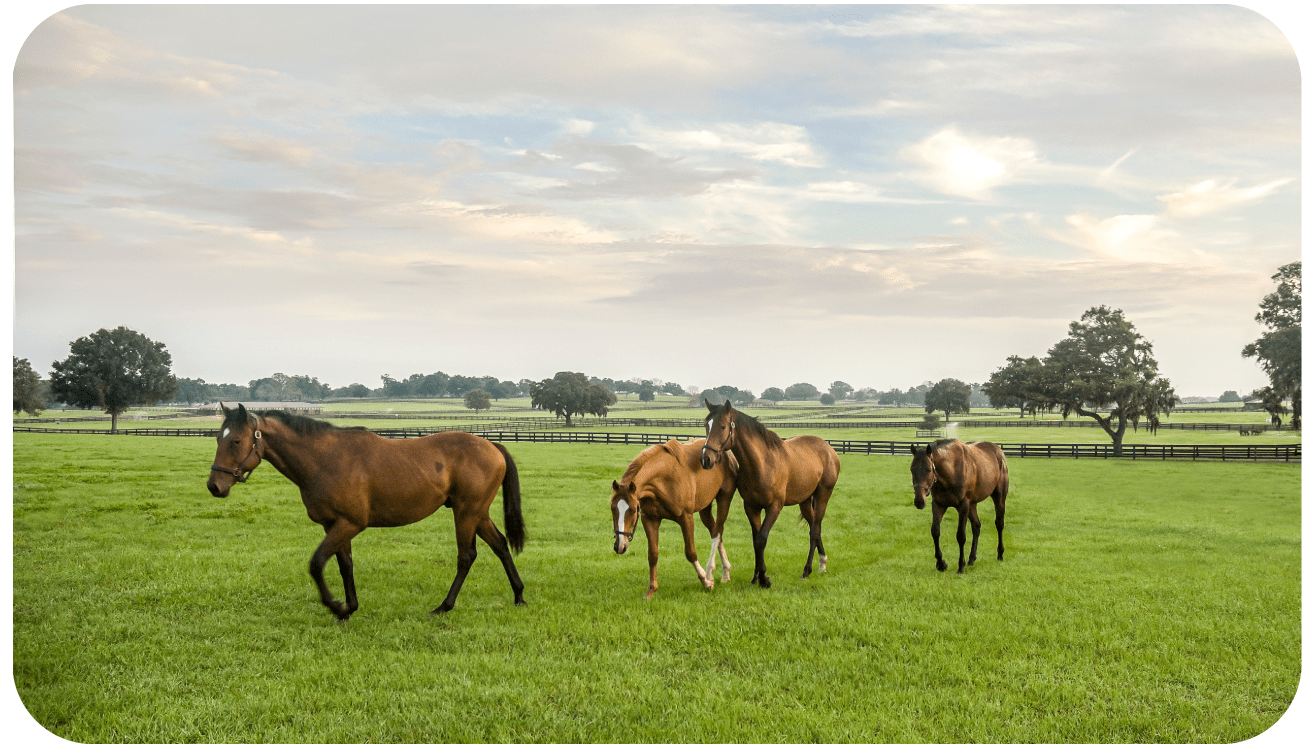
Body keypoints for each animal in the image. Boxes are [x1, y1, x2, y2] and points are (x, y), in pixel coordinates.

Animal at [206, 403, 526, 619]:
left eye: (236, 440)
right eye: (218, 438)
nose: (214, 486)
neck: (325, 459)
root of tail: (492, 445)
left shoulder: (350, 523)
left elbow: (316, 563)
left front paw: (336, 606)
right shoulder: (334, 525)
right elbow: (344, 564)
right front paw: (350, 607)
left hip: (466, 513)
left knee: (466, 556)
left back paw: (444, 606)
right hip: (477, 513)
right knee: (500, 545)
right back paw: (519, 595)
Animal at [610, 438, 738, 599]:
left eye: (633, 510)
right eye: (612, 508)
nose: (619, 546)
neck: (664, 478)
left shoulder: (686, 518)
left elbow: (690, 552)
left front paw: (706, 582)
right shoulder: (650, 519)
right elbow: (653, 554)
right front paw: (651, 590)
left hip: (724, 500)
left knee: (718, 531)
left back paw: (717, 572)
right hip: (705, 509)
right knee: (715, 531)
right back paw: (725, 572)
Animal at [700, 399, 840, 588]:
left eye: (722, 426)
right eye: (706, 425)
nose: (706, 459)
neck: (762, 464)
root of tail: (829, 449)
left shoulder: (774, 507)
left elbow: (761, 539)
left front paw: (764, 579)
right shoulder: (751, 507)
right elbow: (755, 540)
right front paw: (756, 577)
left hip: (823, 496)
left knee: (815, 531)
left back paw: (807, 570)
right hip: (804, 502)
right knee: (814, 527)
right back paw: (822, 563)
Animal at [908, 439, 1009, 574]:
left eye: (929, 469)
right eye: (912, 469)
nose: (919, 501)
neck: (952, 470)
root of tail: (998, 450)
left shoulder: (963, 506)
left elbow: (961, 535)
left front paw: (960, 566)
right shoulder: (938, 505)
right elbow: (935, 531)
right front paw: (941, 564)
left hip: (999, 497)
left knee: (999, 524)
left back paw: (1000, 554)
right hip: (972, 504)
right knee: (976, 526)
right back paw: (971, 559)